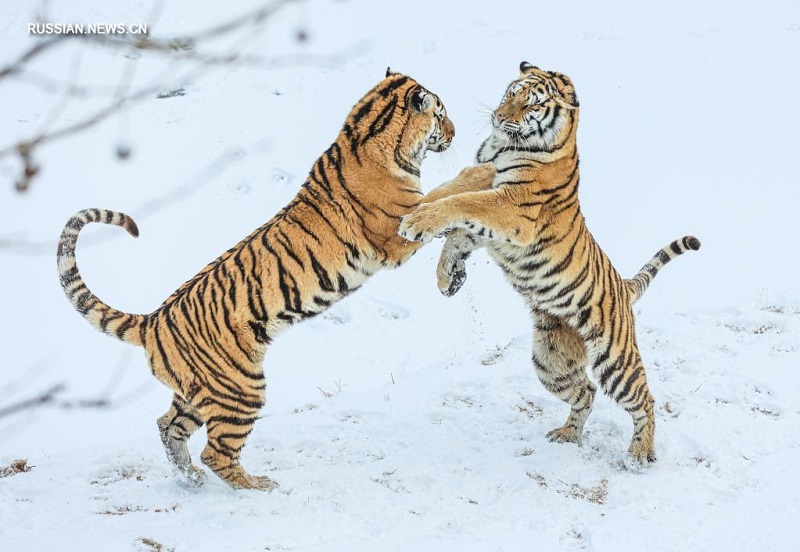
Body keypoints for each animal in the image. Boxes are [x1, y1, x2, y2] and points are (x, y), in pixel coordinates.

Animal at [57, 67, 476, 490]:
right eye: (440, 114)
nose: (455, 131)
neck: (367, 133)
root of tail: (152, 321)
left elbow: (449, 200)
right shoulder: (397, 233)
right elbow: (445, 200)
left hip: (195, 393)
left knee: (167, 425)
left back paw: (189, 477)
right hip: (241, 389)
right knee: (216, 452)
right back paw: (257, 487)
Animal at [400, 62, 700, 464]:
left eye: (532, 104)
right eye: (511, 93)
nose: (498, 117)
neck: (502, 147)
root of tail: (624, 285)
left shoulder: (511, 207)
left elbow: (459, 205)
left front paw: (418, 223)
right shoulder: (484, 194)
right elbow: (454, 217)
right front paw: (448, 276)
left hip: (615, 359)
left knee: (644, 399)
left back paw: (639, 453)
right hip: (551, 360)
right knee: (586, 391)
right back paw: (567, 434)